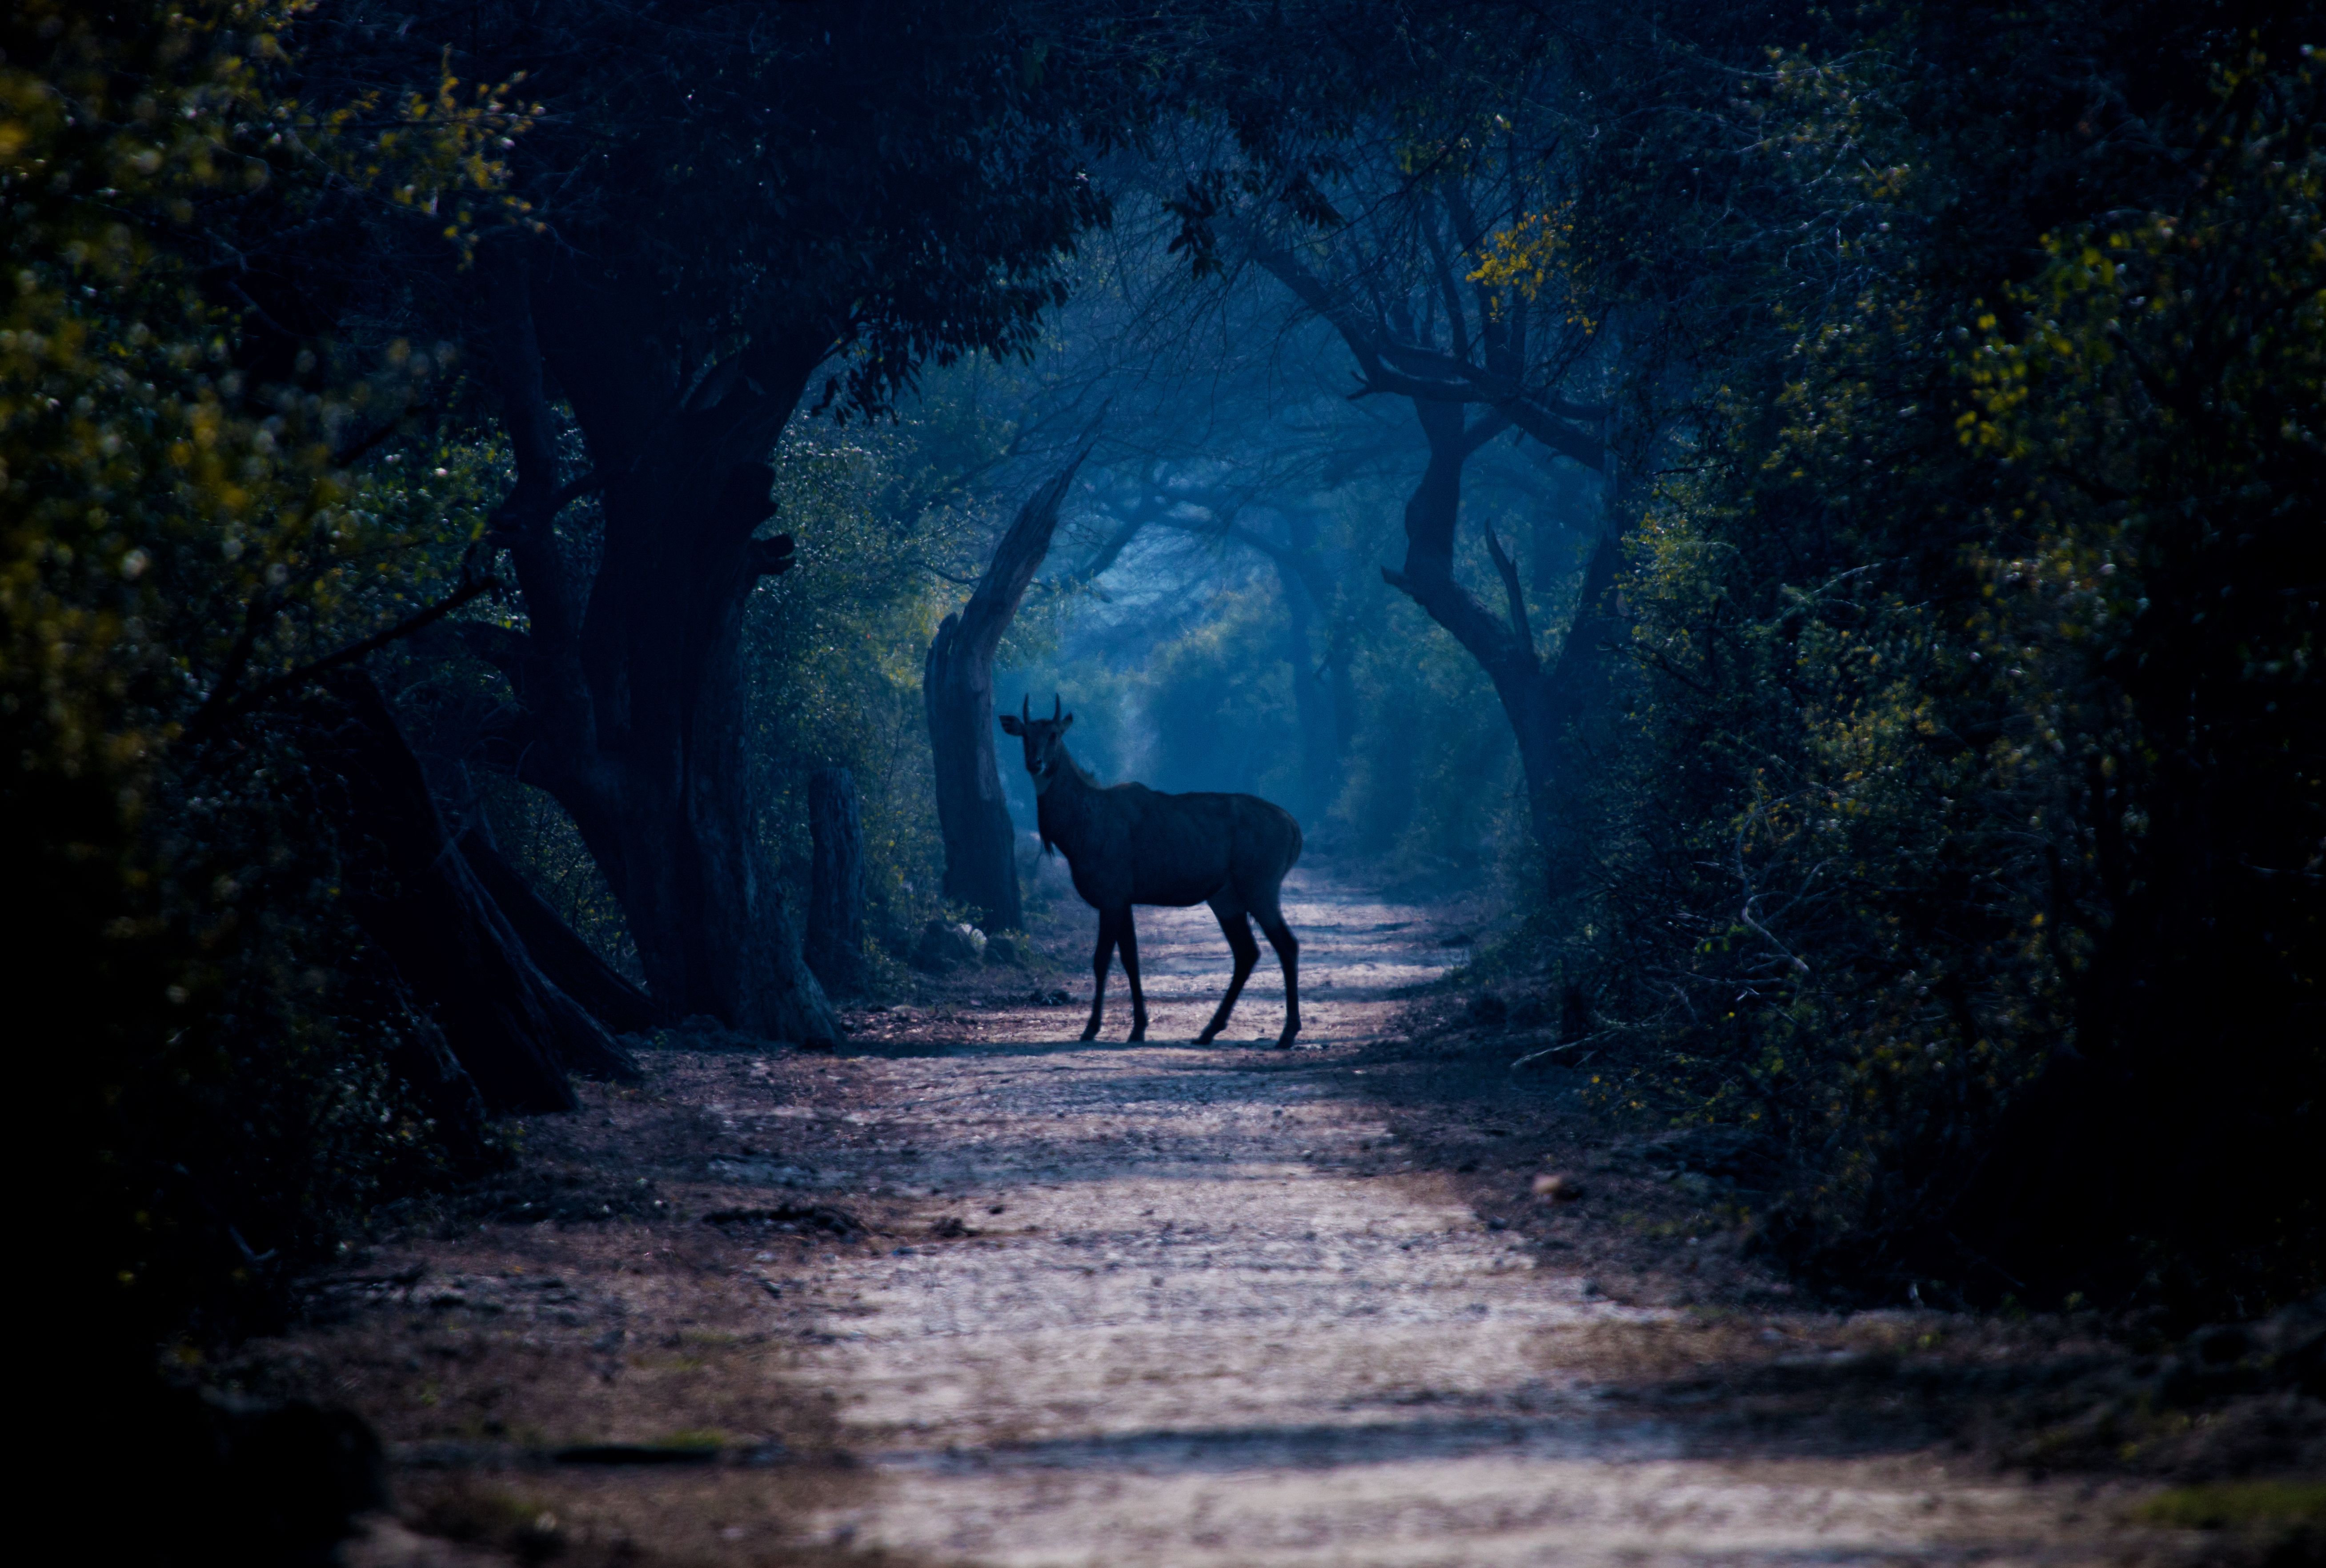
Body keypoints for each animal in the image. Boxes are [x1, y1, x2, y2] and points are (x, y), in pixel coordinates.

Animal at [995, 693, 1302, 1037]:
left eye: (1054, 735)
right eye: (1025, 735)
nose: (1035, 763)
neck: (1079, 830)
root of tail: (1294, 829)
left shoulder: (1112, 896)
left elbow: (1102, 960)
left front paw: (1092, 1028)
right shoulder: (1123, 900)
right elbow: (1131, 959)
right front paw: (1139, 1027)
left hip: (1261, 888)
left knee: (1287, 945)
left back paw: (1287, 1033)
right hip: (1226, 898)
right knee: (1247, 953)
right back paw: (1209, 1031)